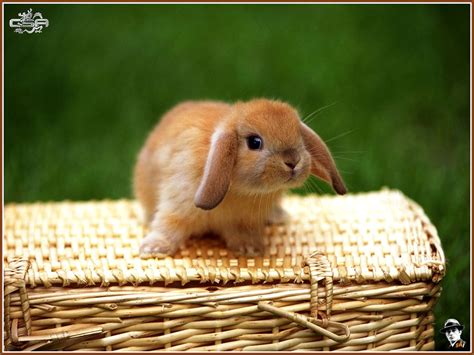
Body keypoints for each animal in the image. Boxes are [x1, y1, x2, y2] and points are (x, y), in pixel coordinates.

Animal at [133, 98, 344, 258]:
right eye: (254, 142)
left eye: (299, 138)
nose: (293, 161)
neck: (239, 190)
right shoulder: (177, 204)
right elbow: (168, 225)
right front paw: (153, 249)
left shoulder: (244, 221)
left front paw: (249, 249)